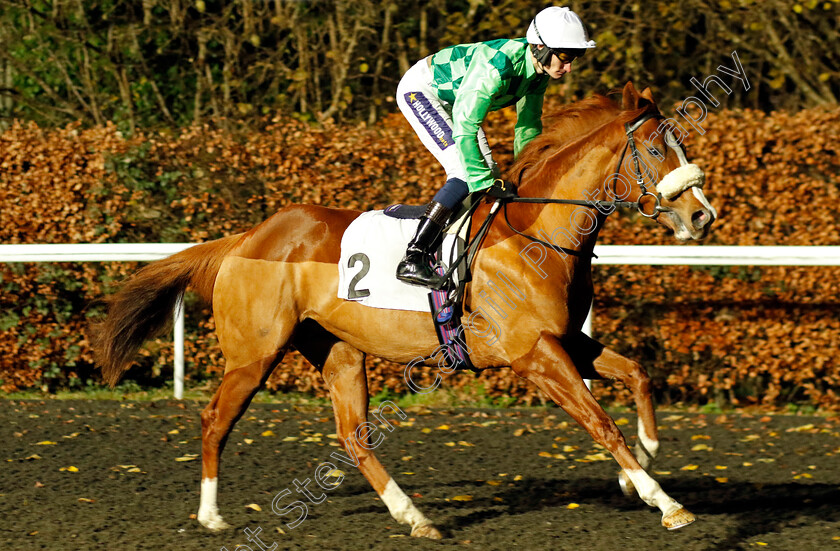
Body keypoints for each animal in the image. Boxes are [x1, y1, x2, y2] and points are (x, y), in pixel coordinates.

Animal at [97, 83, 716, 540]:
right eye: (656, 150)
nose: (702, 216)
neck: (537, 233)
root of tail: (249, 235)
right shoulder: (535, 354)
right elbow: (599, 422)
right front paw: (664, 501)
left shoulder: (566, 339)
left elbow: (637, 374)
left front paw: (644, 462)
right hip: (255, 353)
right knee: (214, 420)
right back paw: (211, 515)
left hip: (338, 349)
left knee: (353, 436)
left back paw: (413, 516)